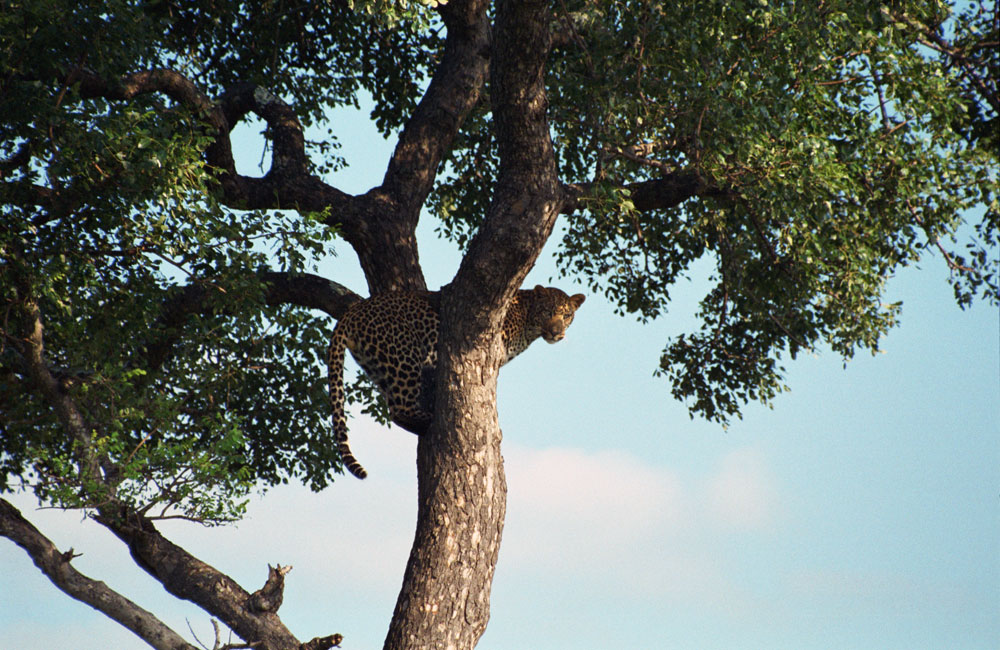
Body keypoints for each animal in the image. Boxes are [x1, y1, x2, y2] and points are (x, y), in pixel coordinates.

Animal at [330, 284, 584, 476]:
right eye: (547, 311)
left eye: (566, 315)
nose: (556, 332)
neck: (528, 322)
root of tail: (353, 311)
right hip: (403, 354)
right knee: (400, 408)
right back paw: (428, 419)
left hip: (377, 363)